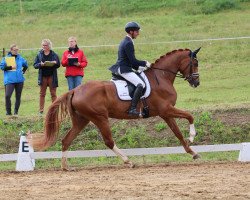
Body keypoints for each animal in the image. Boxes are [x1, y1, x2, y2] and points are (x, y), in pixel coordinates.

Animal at [31, 47, 201, 170]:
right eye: (195, 63)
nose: (196, 83)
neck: (162, 77)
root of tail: (75, 90)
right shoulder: (166, 109)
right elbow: (190, 116)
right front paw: (192, 137)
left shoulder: (165, 113)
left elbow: (178, 133)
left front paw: (192, 152)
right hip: (100, 118)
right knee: (108, 141)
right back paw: (128, 161)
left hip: (82, 120)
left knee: (66, 140)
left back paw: (65, 166)